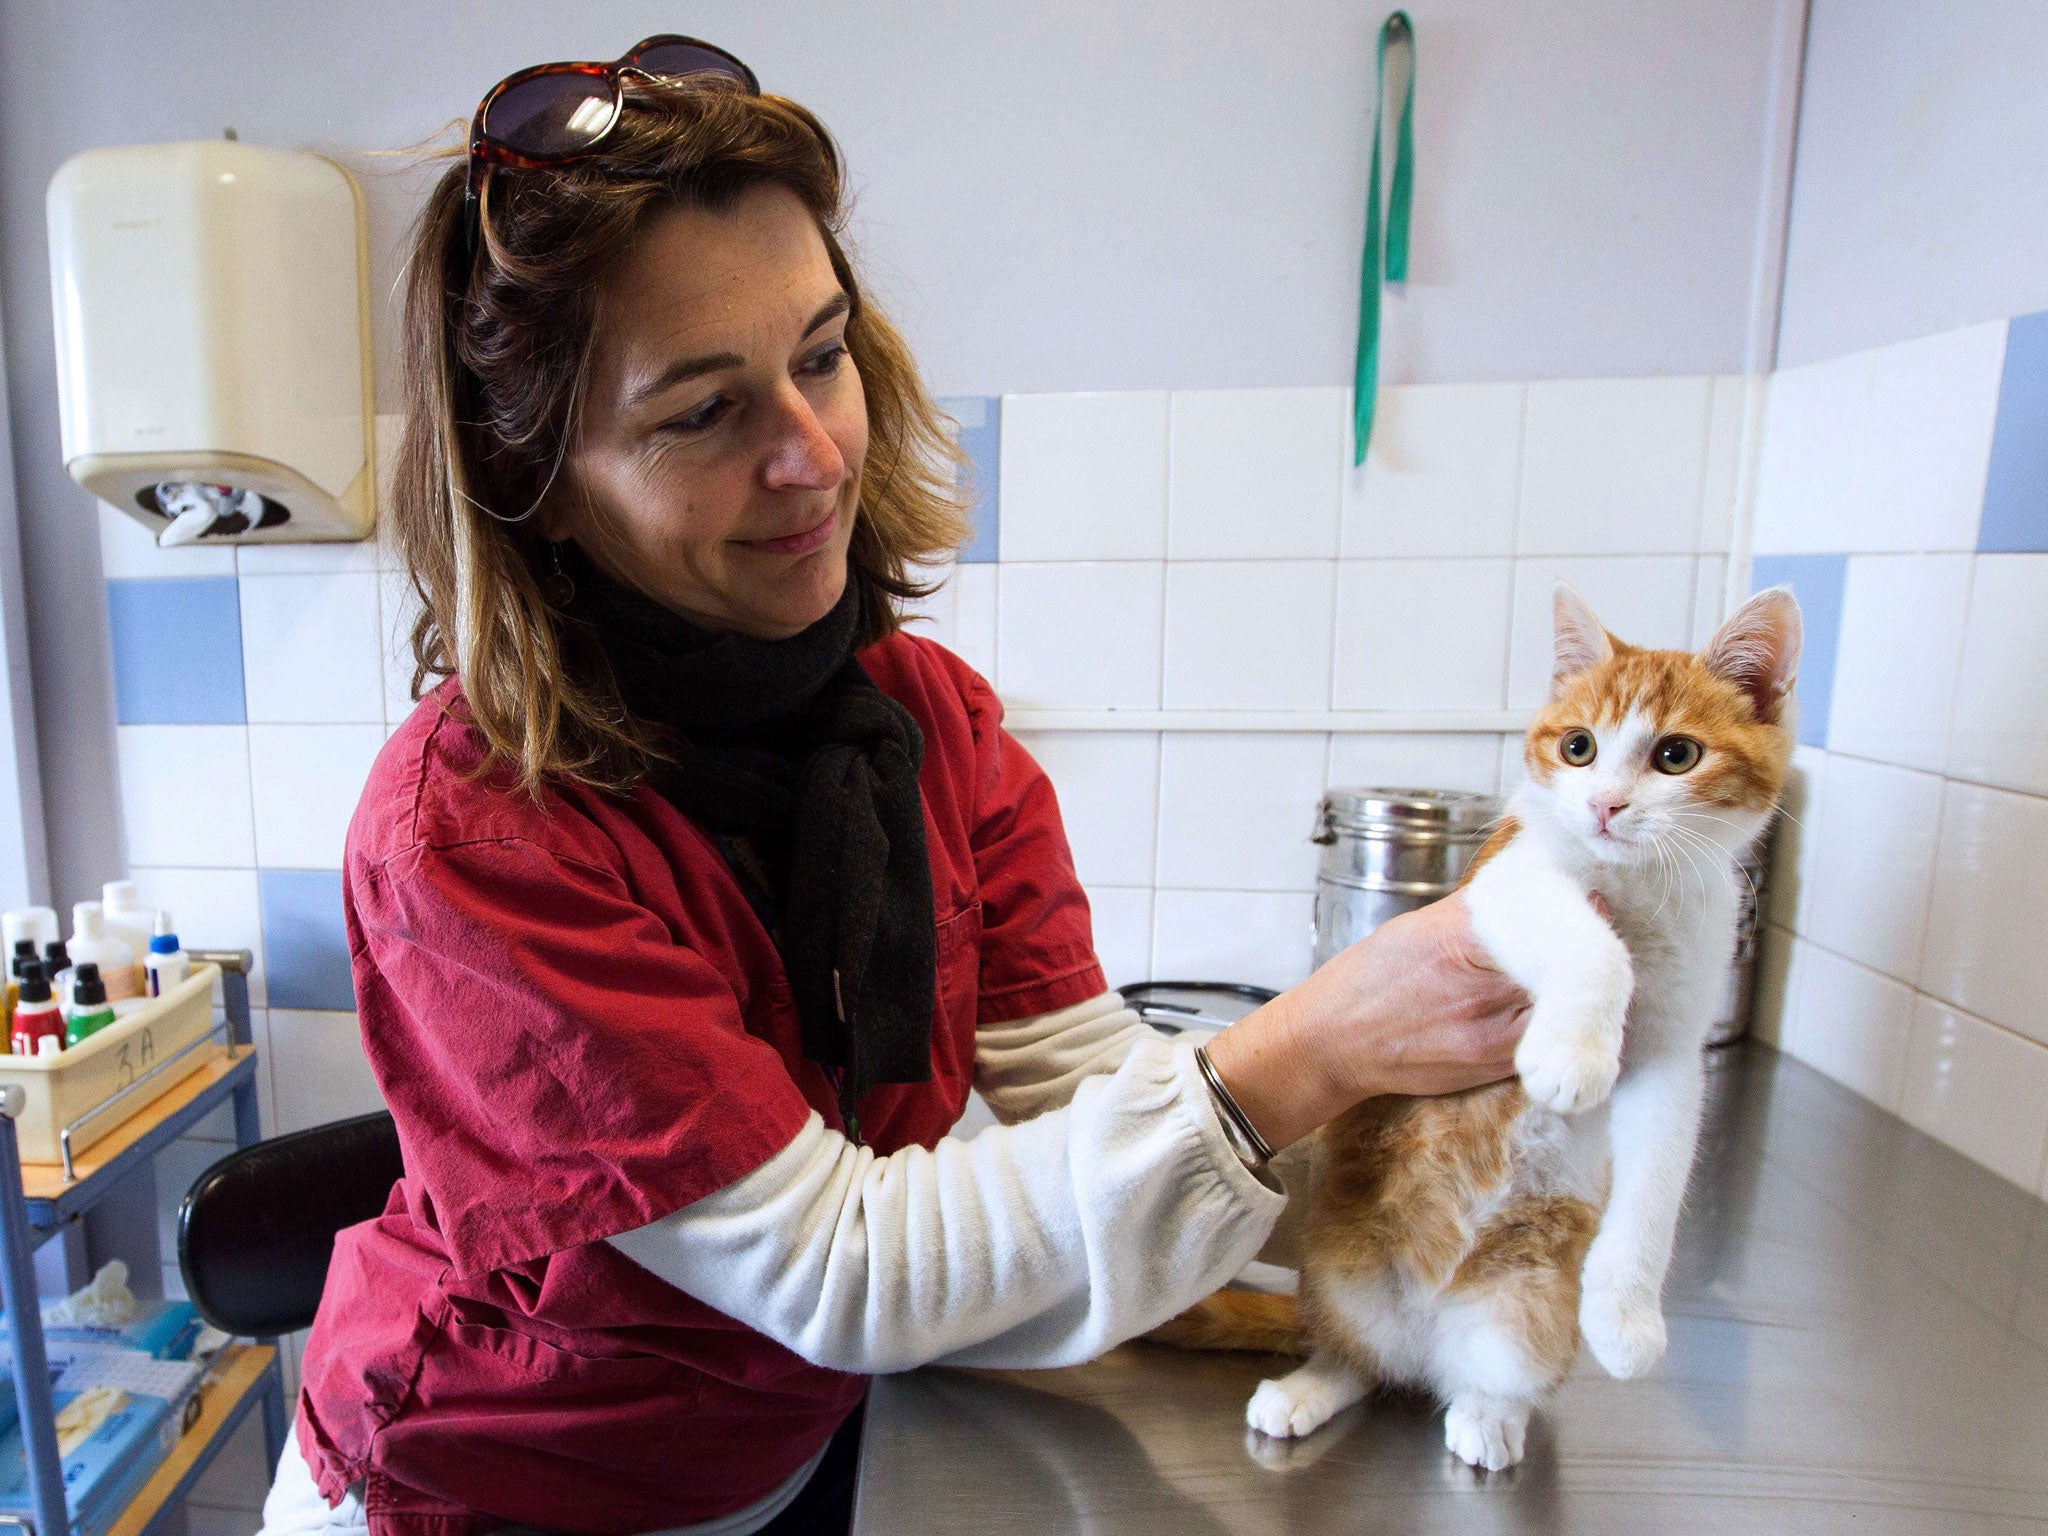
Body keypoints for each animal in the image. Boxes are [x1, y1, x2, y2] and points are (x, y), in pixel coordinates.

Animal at [1163, 581, 1802, 1474]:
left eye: (1677, 755)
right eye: (1578, 746)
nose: (1604, 806)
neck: (1639, 890)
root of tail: (1424, 1330)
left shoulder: (1675, 1046)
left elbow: (1659, 1179)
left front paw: (1628, 1318)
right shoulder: (1504, 880)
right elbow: (1589, 942)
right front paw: (1572, 1052)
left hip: (1521, 1306)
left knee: (1469, 1375)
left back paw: (1489, 1418)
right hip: (1343, 1272)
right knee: (1354, 1355)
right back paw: (1309, 1387)